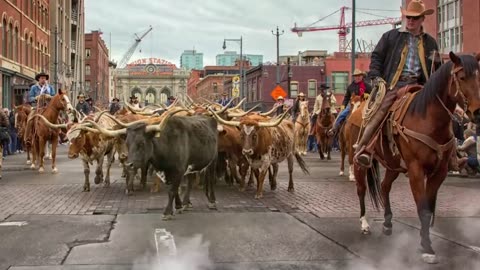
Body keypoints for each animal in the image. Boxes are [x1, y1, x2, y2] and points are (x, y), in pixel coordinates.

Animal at [352, 51, 480, 262]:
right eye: (462, 77)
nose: (477, 112)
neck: (428, 119)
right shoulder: (416, 170)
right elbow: (423, 209)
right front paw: (427, 246)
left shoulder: (439, 172)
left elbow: (429, 207)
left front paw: (424, 241)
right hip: (359, 162)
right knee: (361, 189)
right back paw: (364, 223)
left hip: (393, 164)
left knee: (385, 186)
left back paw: (387, 223)